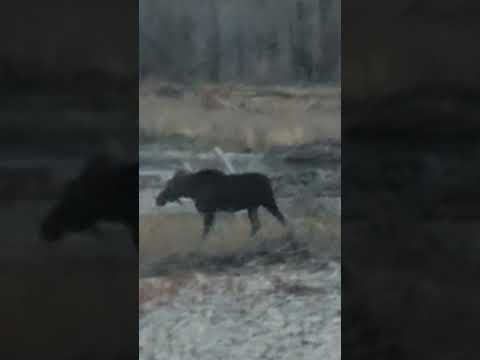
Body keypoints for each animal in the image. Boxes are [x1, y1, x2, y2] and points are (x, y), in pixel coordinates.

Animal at [156, 169, 286, 239]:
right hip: (252, 207)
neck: (192, 190)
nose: (158, 199)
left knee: (281, 218)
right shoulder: (212, 211)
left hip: (268, 202)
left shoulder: (209, 211)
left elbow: (206, 230)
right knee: (256, 224)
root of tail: (270, 180)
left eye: (169, 185)